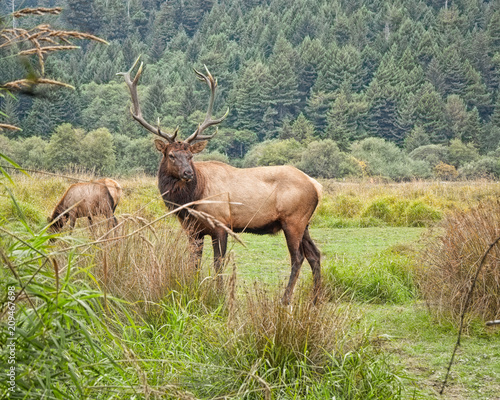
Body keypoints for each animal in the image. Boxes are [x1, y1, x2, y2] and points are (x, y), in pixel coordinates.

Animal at [119, 58, 322, 304]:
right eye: (171, 155)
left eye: (190, 156)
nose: (188, 173)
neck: (192, 200)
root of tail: (316, 186)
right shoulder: (193, 231)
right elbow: (194, 263)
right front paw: (195, 290)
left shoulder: (221, 224)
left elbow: (218, 264)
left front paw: (219, 296)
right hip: (305, 222)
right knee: (315, 254)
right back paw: (315, 299)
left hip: (293, 219)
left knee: (298, 257)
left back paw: (285, 300)